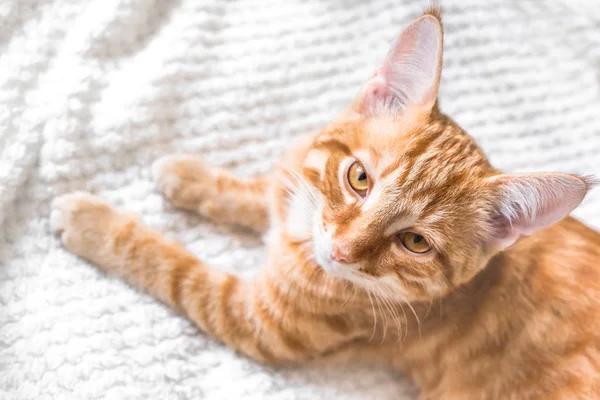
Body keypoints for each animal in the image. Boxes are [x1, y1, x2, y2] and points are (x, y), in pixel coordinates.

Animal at [51, 7, 600, 400]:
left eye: (415, 242)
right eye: (359, 178)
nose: (340, 250)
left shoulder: (256, 322)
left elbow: (175, 268)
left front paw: (93, 222)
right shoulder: (296, 191)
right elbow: (264, 190)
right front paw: (190, 175)